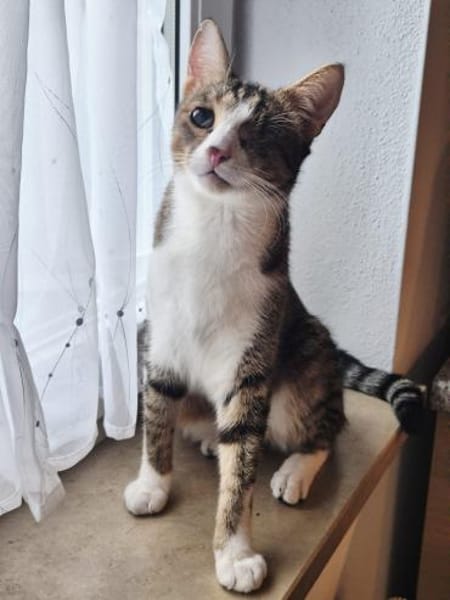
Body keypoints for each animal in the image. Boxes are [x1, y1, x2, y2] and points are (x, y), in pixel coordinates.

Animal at [125, 20, 423, 593]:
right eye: (202, 116)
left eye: (258, 137)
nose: (217, 152)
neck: (213, 230)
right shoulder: (161, 335)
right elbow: (157, 408)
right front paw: (153, 482)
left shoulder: (253, 351)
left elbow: (242, 465)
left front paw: (235, 553)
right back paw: (207, 438)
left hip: (301, 365)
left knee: (324, 426)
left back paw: (293, 469)